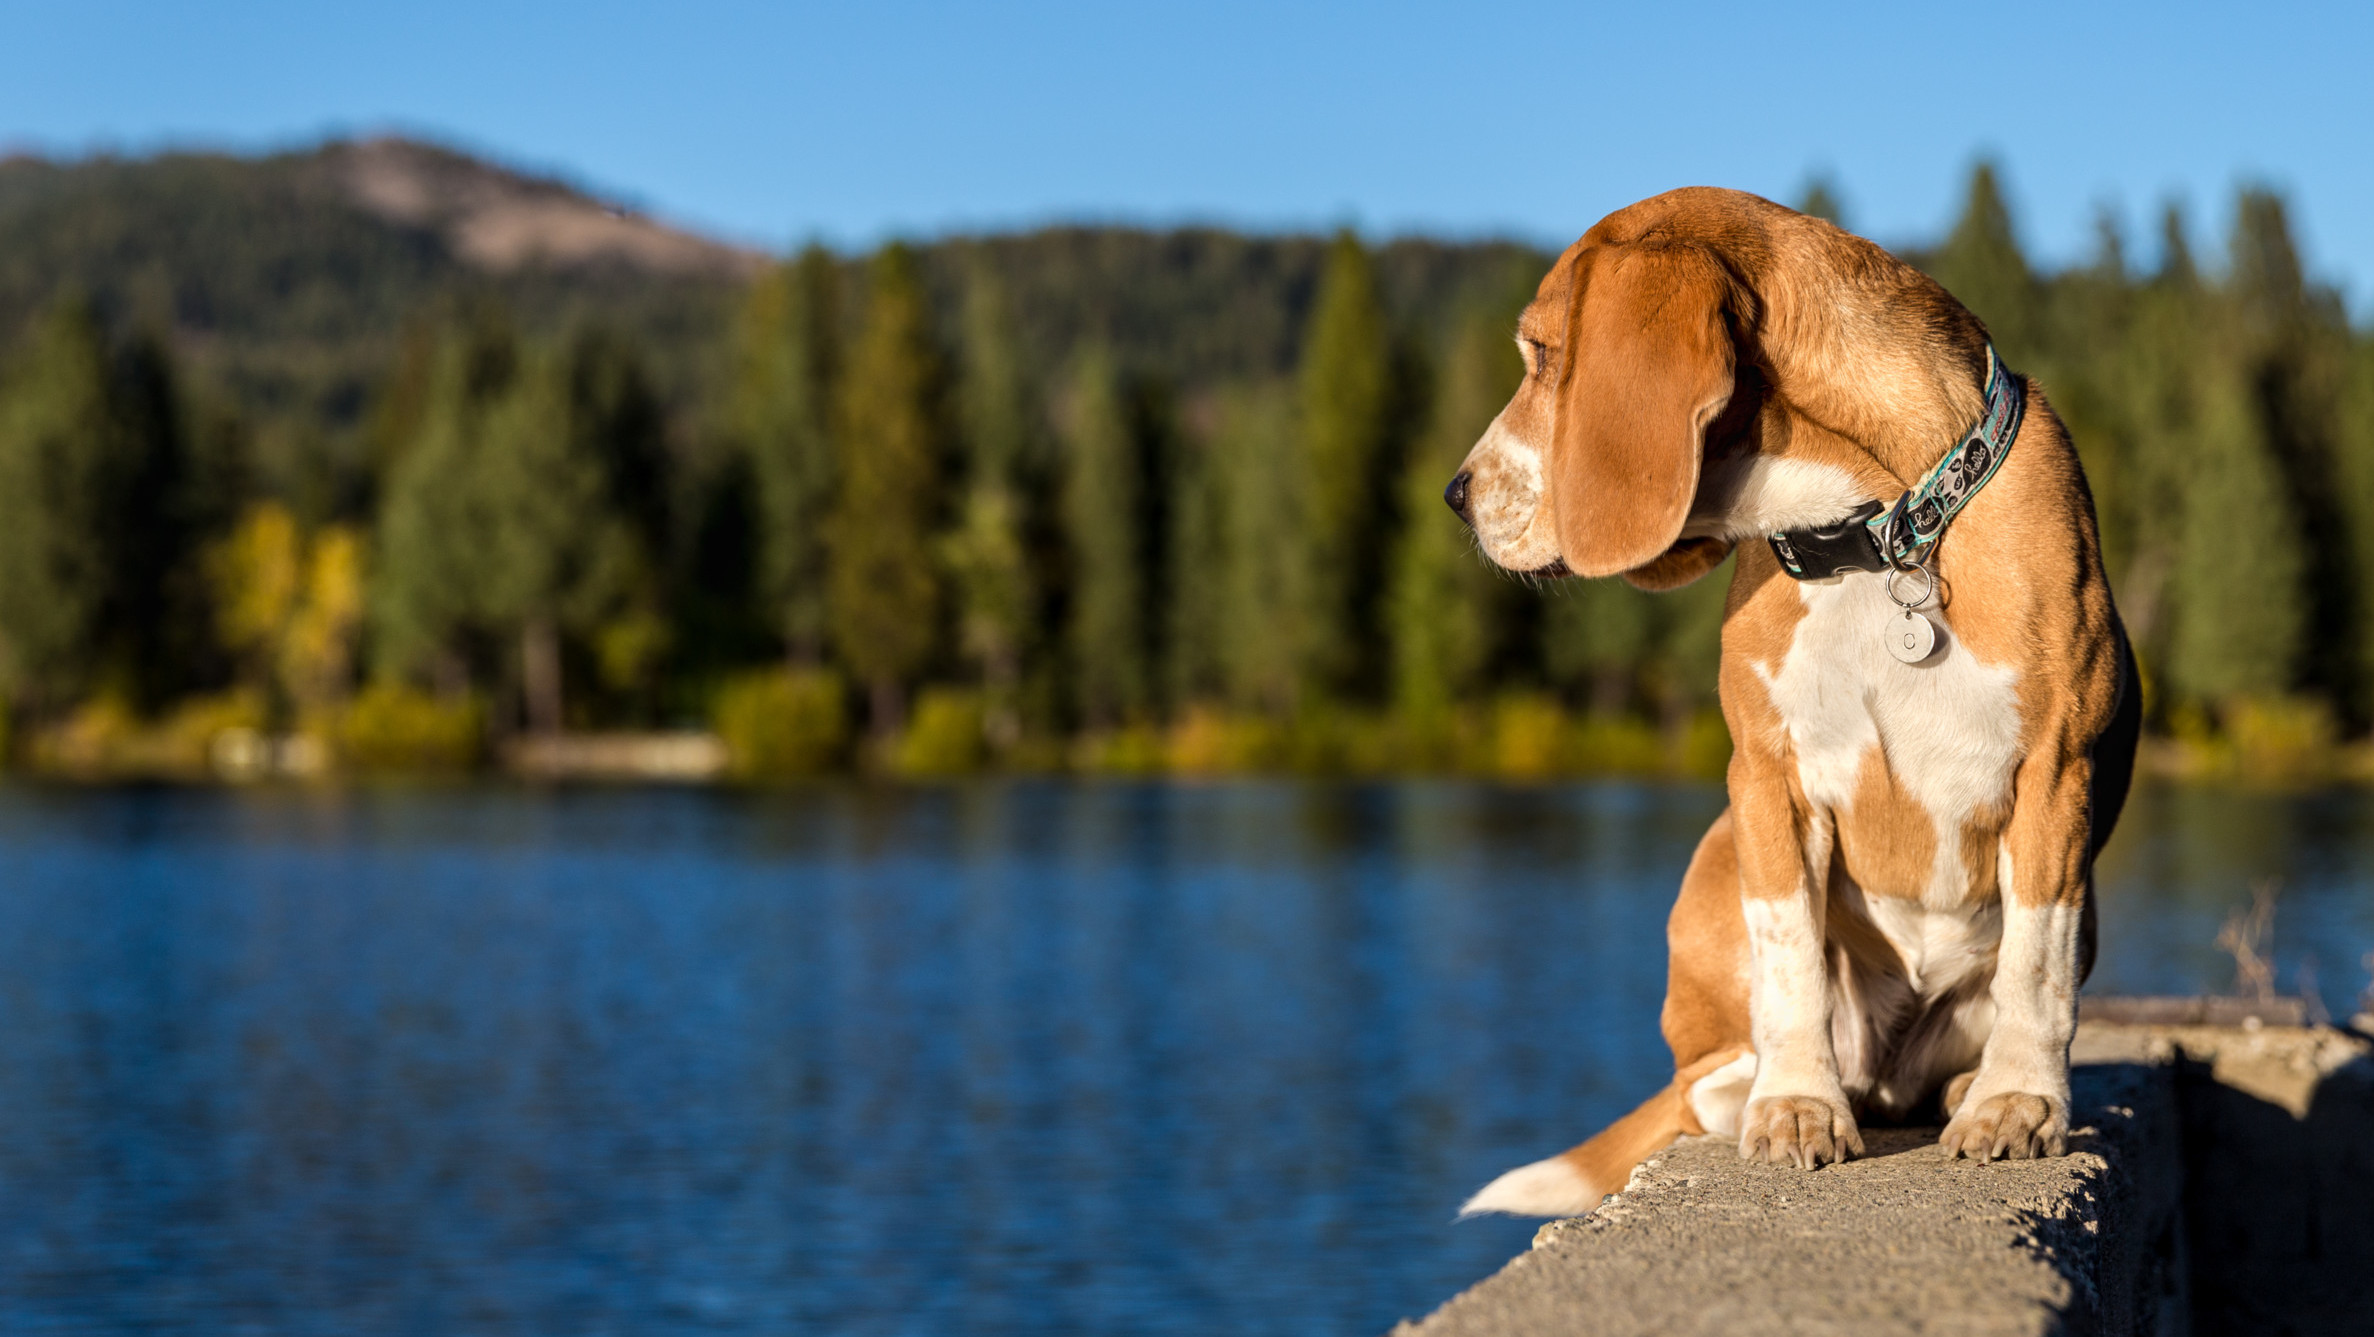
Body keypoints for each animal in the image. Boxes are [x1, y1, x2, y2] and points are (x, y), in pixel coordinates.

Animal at [1452, 188, 2146, 1225]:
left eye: (1540, 353)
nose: (1455, 495)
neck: (1876, 531)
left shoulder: (2056, 773)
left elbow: (2036, 958)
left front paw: (2020, 1101)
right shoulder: (1766, 780)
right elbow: (1790, 957)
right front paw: (1794, 1107)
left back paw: (1964, 1085)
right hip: (1714, 857)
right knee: (1699, 1082)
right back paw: (1766, 1089)